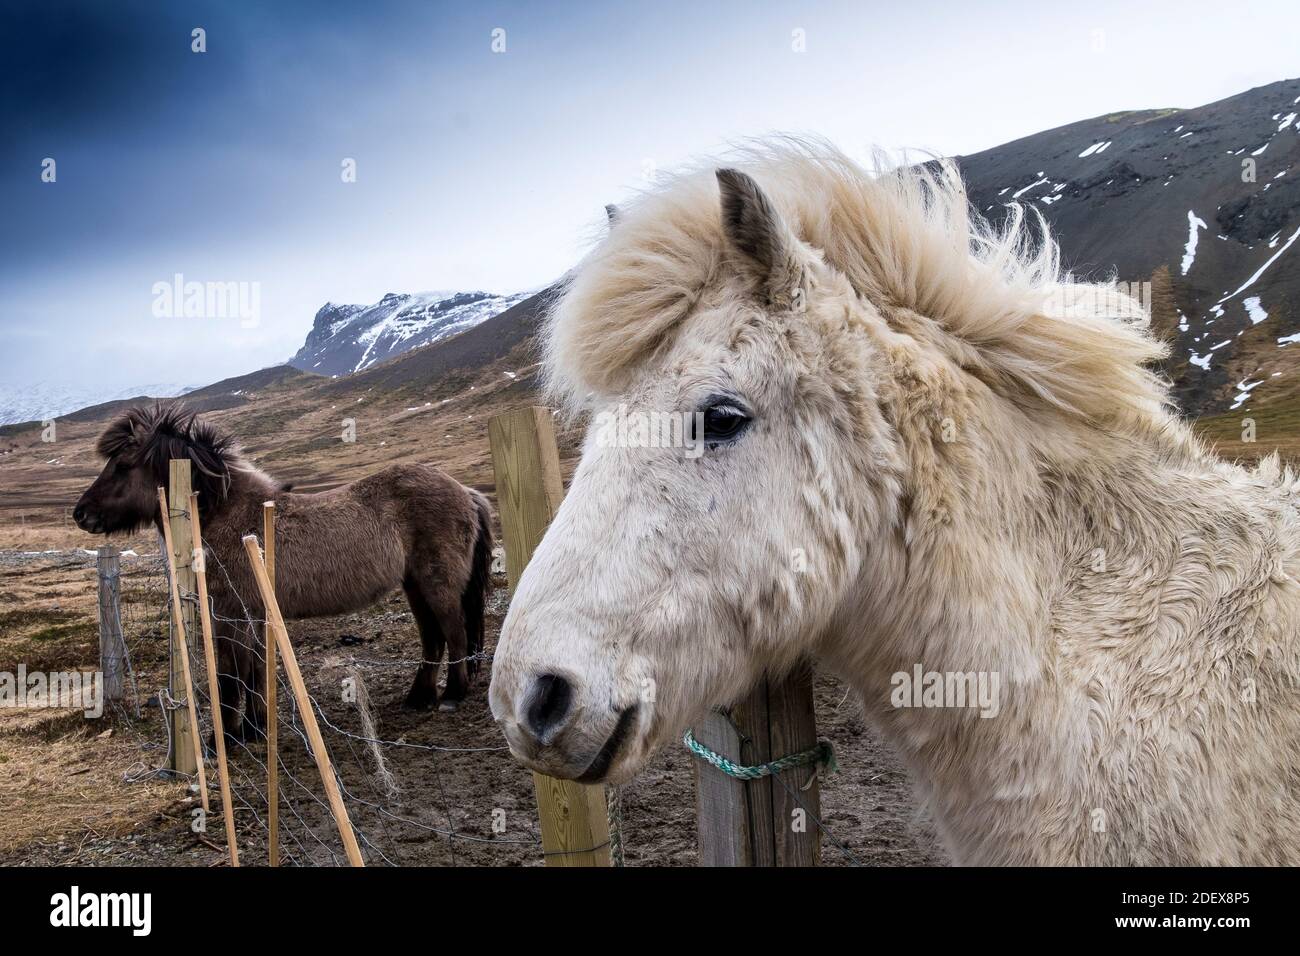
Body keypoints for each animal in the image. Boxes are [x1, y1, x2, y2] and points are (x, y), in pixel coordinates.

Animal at [76, 403, 491, 738]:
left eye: (123, 466)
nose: (81, 514)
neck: (228, 514)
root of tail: (466, 492)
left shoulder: (232, 615)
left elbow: (232, 677)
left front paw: (228, 739)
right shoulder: (254, 615)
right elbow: (256, 672)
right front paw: (256, 728)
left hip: (437, 584)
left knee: (453, 632)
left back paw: (452, 696)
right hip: (414, 586)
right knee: (432, 639)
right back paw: (418, 697)